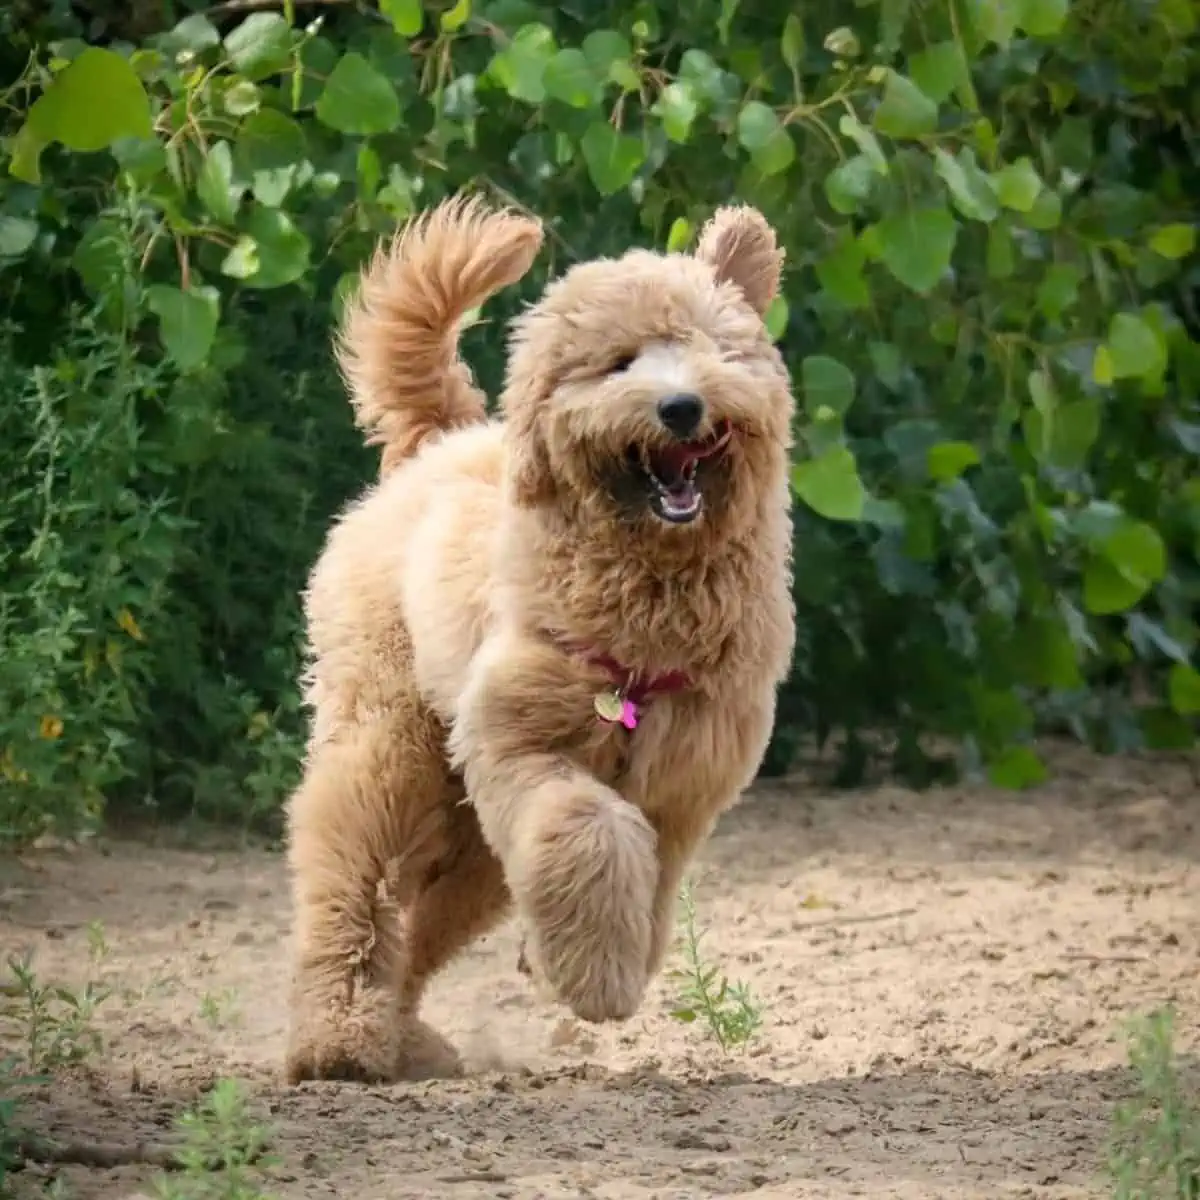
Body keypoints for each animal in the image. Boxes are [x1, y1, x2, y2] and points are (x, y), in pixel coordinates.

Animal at [283, 194, 796, 1080]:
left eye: (708, 349)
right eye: (619, 363)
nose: (682, 407)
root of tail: (441, 441)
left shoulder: (684, 781)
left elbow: (645, 878)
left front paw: (594, 965)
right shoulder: (524, 743)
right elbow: (590, 833)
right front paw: (594, 979)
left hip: (475, 844)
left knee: (423, 923)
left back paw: (405, 1038)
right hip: (391, 744)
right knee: (352, 873)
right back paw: (338, 1037)